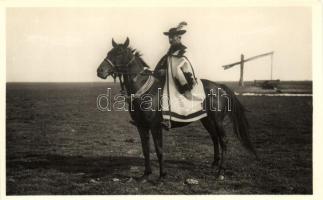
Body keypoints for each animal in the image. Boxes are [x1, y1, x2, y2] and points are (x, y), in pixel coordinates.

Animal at [97, 38, 258, 179]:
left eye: (119, 53)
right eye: (109, 52)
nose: (100, 71)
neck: (145, 91)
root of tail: (219, 86)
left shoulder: (155, 126)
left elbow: (159, 150)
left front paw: (162, 176)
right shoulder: (141, 126)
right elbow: (145, 150)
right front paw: (146, 174)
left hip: (217, 121)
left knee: (223, 140)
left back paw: (220, 171)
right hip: (206, 120)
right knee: (214, 138)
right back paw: (214, 164)